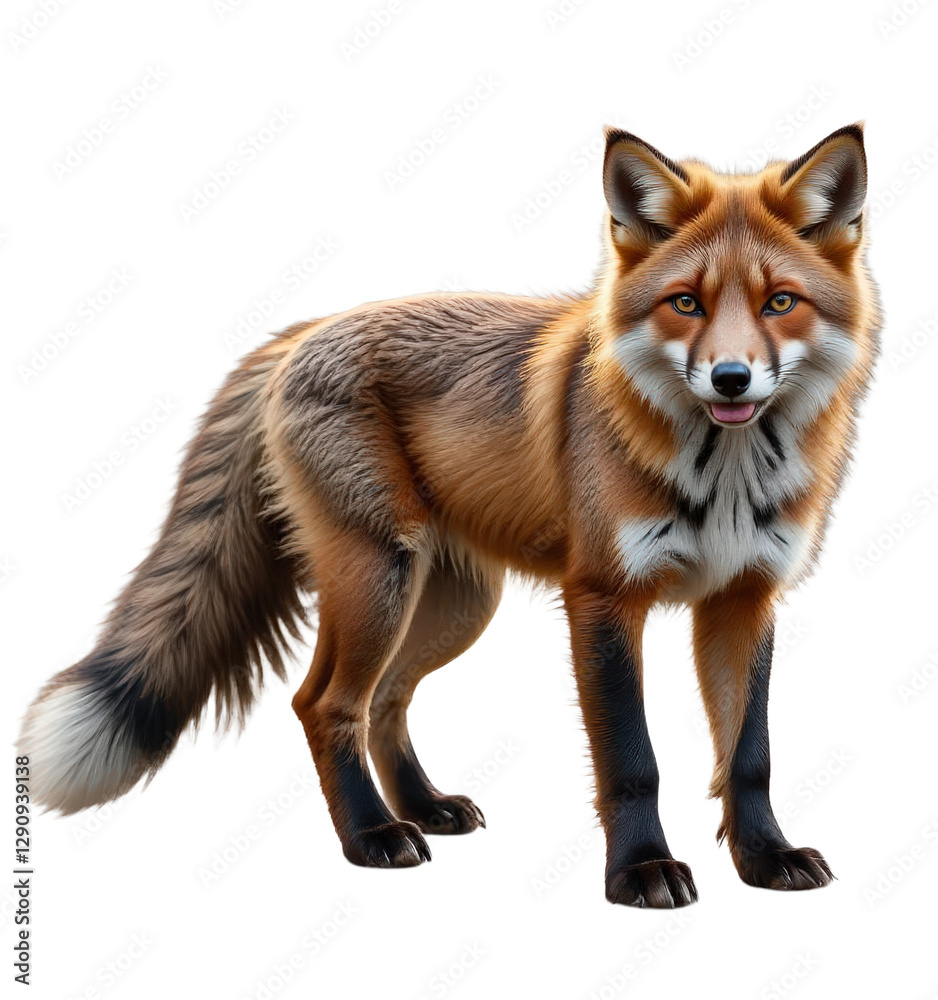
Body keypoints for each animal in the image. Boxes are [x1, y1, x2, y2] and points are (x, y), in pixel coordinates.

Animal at [19, 123, 879, 908]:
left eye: (779, 303)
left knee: (385, 702)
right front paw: (640, 872)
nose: (731, 379)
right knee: (324, 705)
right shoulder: (603, 597)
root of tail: (302, 332)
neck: (723, 475)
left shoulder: (744, 597)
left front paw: (764, 859)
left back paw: (424, 807)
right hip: (379, 580)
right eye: (686, 304)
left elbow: (749, 756)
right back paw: (372, 836)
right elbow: (633, 760)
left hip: (456, 605)